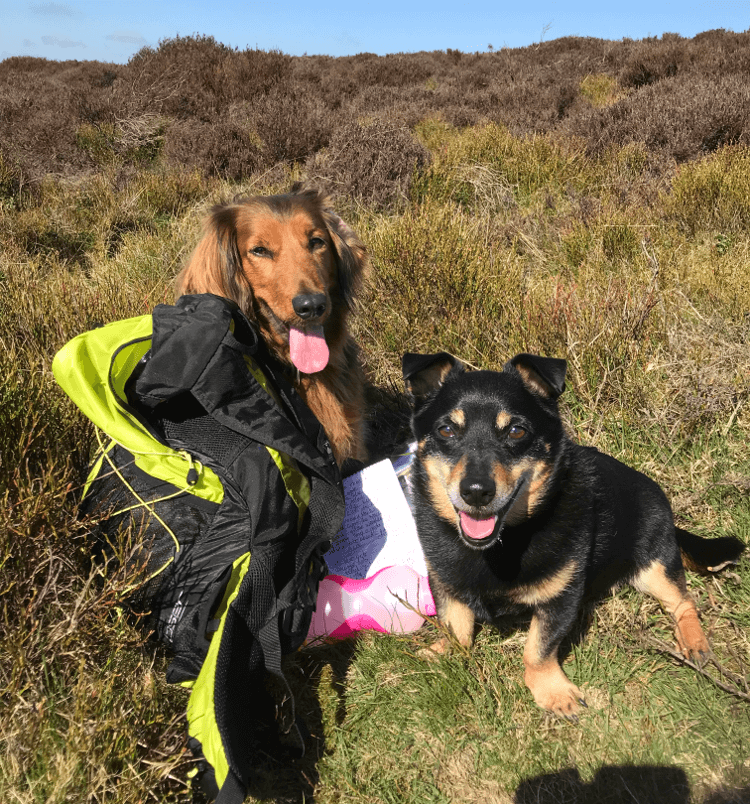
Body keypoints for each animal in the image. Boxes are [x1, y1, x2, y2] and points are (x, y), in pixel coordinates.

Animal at [406, 352, 748, 716]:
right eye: (445, 429)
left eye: (516, 430)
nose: (475, 491)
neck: (500, 545)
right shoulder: (445, 581)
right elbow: (455, 625)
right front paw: (441, 654)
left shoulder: (561, 598)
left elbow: (538, 650)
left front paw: (554, 692)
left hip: (655, 565)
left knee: (682, 601)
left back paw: (694, 641)